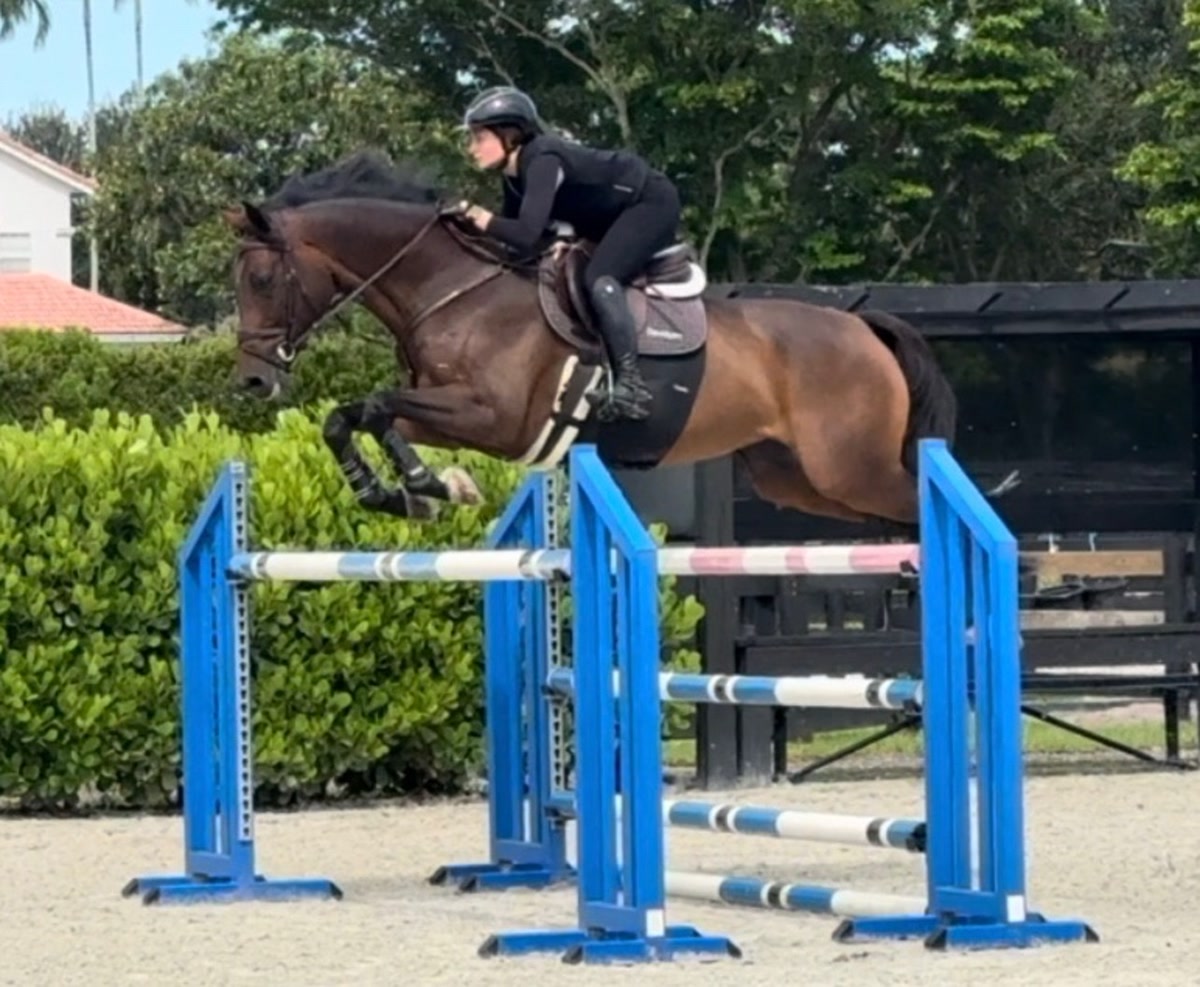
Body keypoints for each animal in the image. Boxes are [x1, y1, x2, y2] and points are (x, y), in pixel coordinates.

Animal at [224, 150, 957, 527]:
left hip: (850, 467)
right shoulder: (447, 412)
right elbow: (349, 416)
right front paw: (405, 492)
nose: (252, 380)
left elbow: (375, 405)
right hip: (799, 478)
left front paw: (428, 485)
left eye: (260, 278)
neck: (455, 286)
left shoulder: (496, 419)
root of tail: (861, 326)